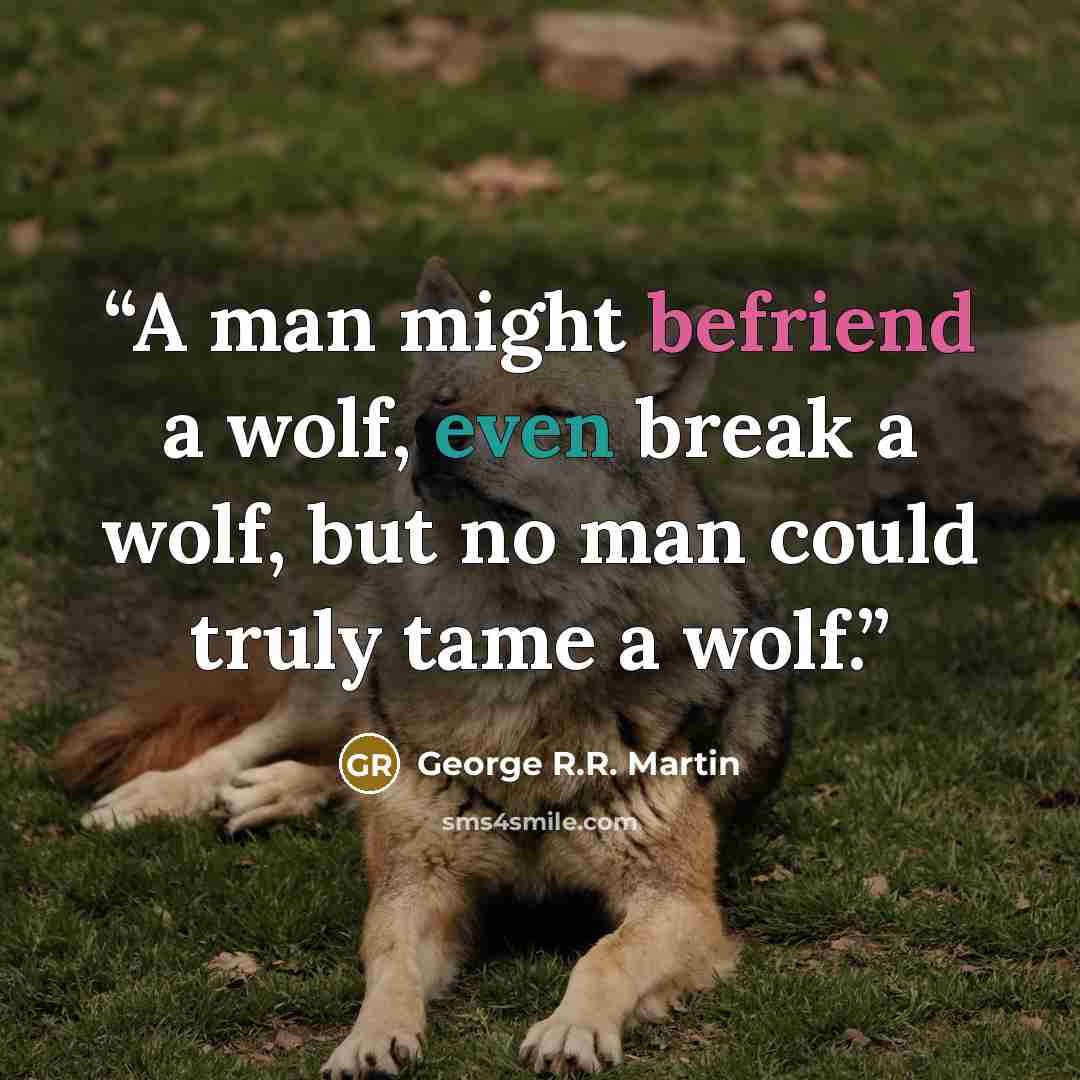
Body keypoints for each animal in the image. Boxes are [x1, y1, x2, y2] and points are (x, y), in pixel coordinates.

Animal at [55, 258, 792, 1078]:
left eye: (551, 416)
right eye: (446, 398)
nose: (437, 430)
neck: (512, 657)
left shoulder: (678, 902)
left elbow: (604, 956)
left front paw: (571, 1028)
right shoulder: (416, 887)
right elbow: (390, 966)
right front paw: (370, 1038)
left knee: (346, 769)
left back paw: (280, 793)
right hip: (344, 664)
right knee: (264, 740)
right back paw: (158, 796)